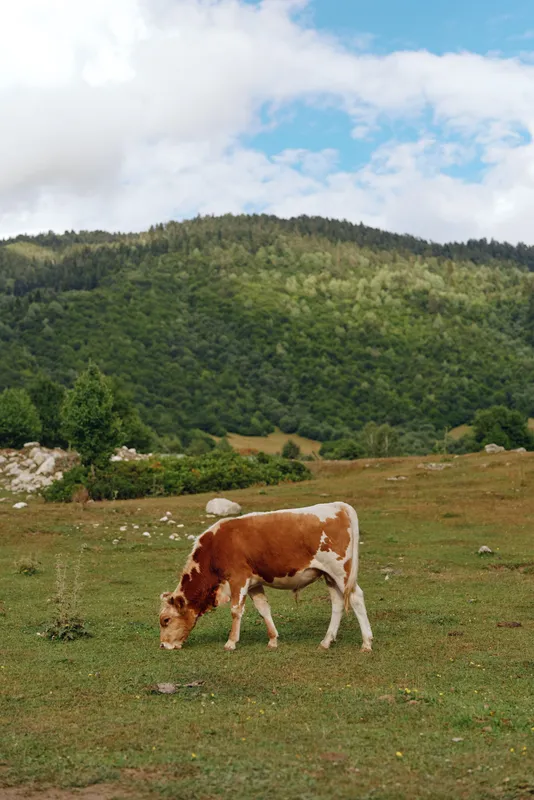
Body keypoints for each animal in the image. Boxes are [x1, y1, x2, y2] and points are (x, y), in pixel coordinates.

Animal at [159, 501, 373, 652]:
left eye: (166, 620)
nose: (163, 645)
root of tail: (339, 505)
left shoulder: (238, 578)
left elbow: (236, 610)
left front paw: (231, 642)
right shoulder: (254, 583)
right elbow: (263, 609)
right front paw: (273, 639)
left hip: (340, 570)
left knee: (356, 598)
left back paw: (366, 643)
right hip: (329, 575)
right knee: (337, 603)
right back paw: (326, 641)